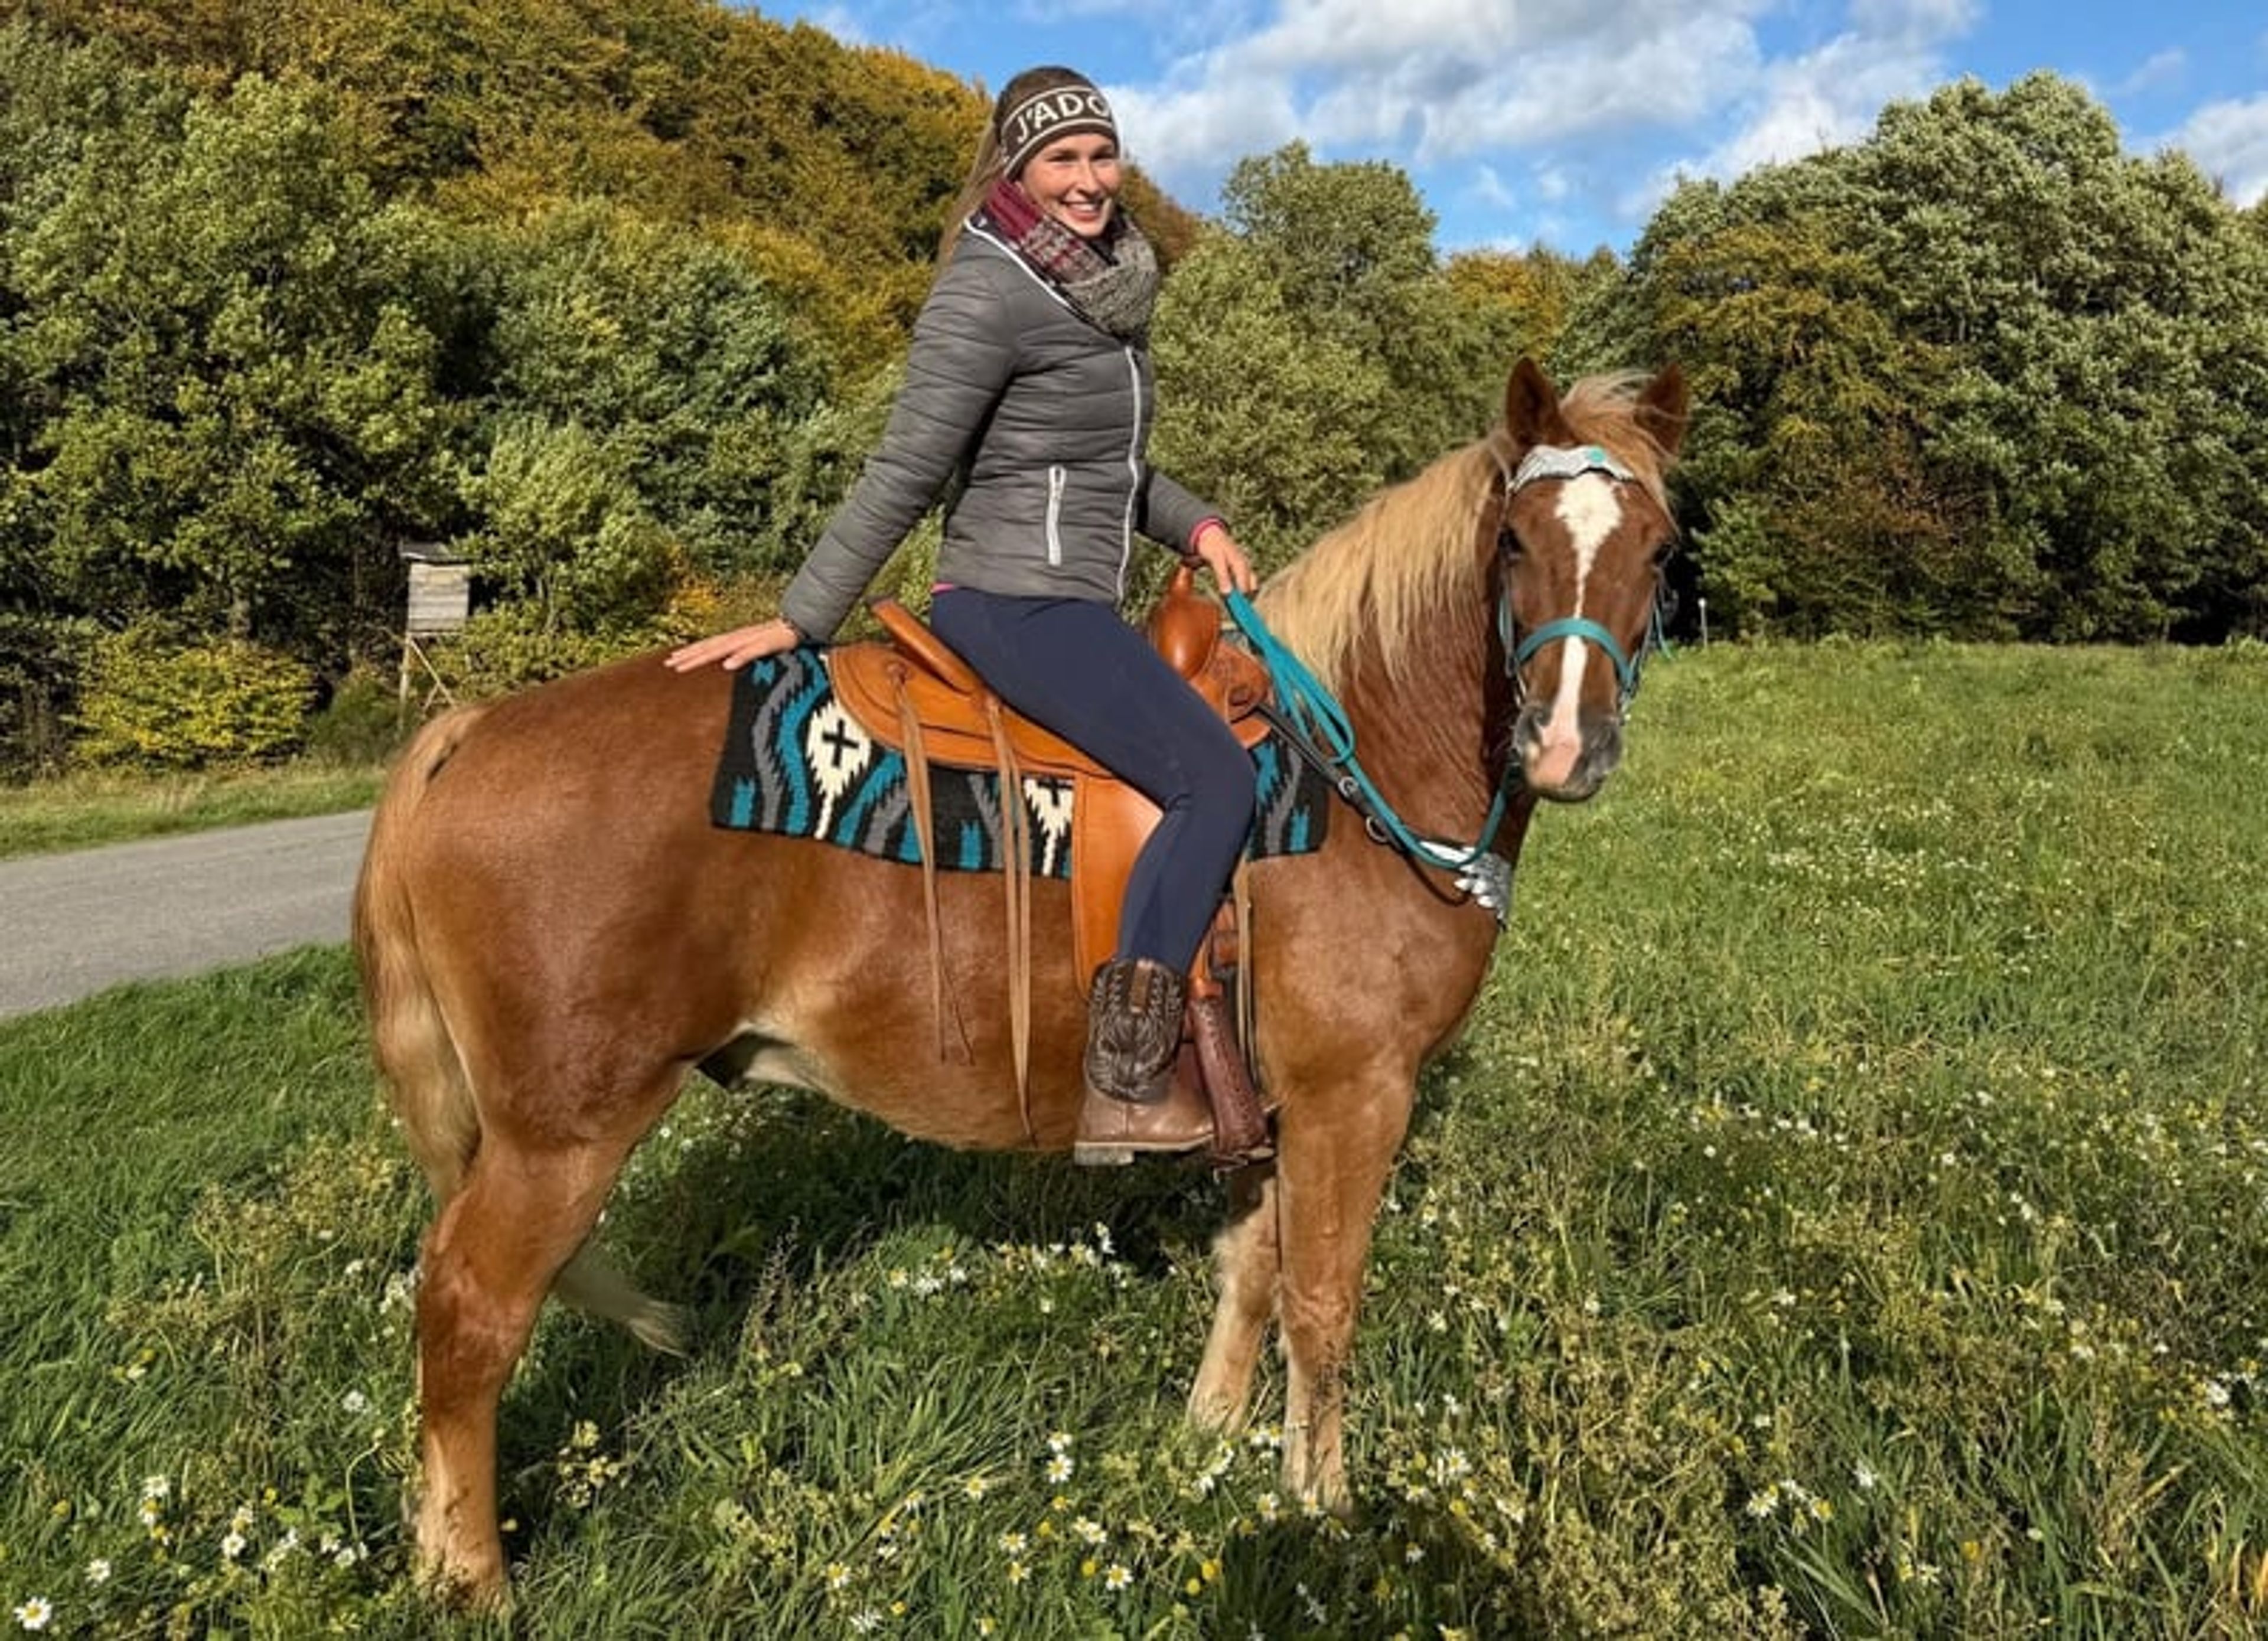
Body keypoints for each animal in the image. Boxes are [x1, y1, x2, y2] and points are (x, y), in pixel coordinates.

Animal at [353, 356, 1688, 1602]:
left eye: (1658, 548)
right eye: (1513, 541)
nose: (1568, 745)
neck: (1346, 773)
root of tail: (464, 733)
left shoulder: (1276, 1108)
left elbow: (1251, 1271)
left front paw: (1208, 1438)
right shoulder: (1355, 1096)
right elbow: (1322, 1302)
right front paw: (1325, 1505)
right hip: (560, 1140)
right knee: (468, 1317)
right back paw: (472, 1576)